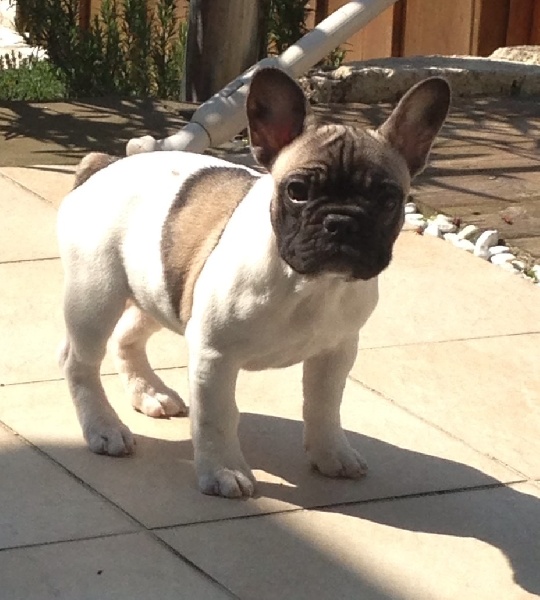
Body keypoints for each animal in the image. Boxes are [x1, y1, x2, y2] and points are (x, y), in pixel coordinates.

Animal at [57, 68, 450, 498]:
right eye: (297, 191)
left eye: (388, 199)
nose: (341, 221)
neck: (308, 284)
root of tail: (104, 165)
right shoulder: (214, 356)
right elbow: (218, 416)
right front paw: (224, 471)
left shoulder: (336, 352)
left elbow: (324, 406)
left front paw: (331, 453)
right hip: (97, 295)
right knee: (80, 363)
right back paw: (104, 428)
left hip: (162, 288)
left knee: (126, 337)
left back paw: (149, 393)